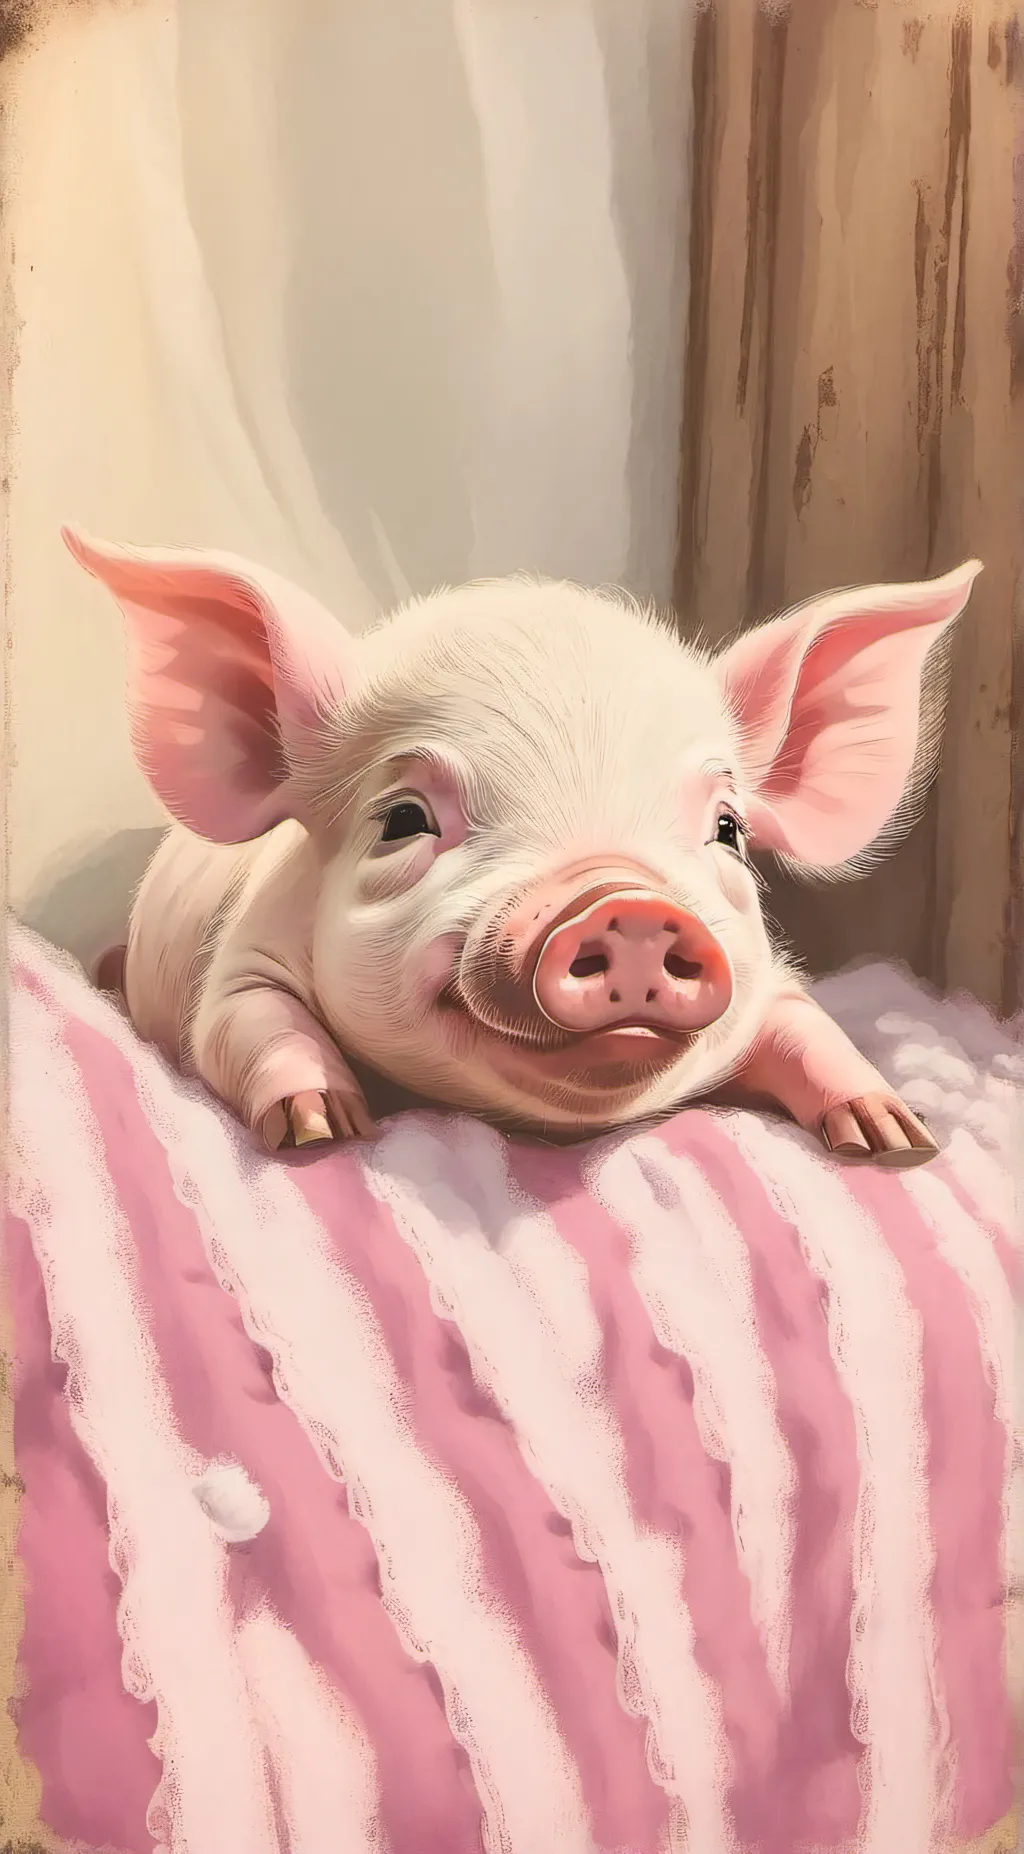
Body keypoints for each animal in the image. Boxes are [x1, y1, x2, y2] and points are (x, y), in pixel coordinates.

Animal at [62, 526, 981, 1168]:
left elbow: (808, 1025)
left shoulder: (768, 982)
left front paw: (899, 1137)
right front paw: (323, 1127)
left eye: (727, 828)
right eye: (403, 819)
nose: (626, 904)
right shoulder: (244, 962)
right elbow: (248, 1024)